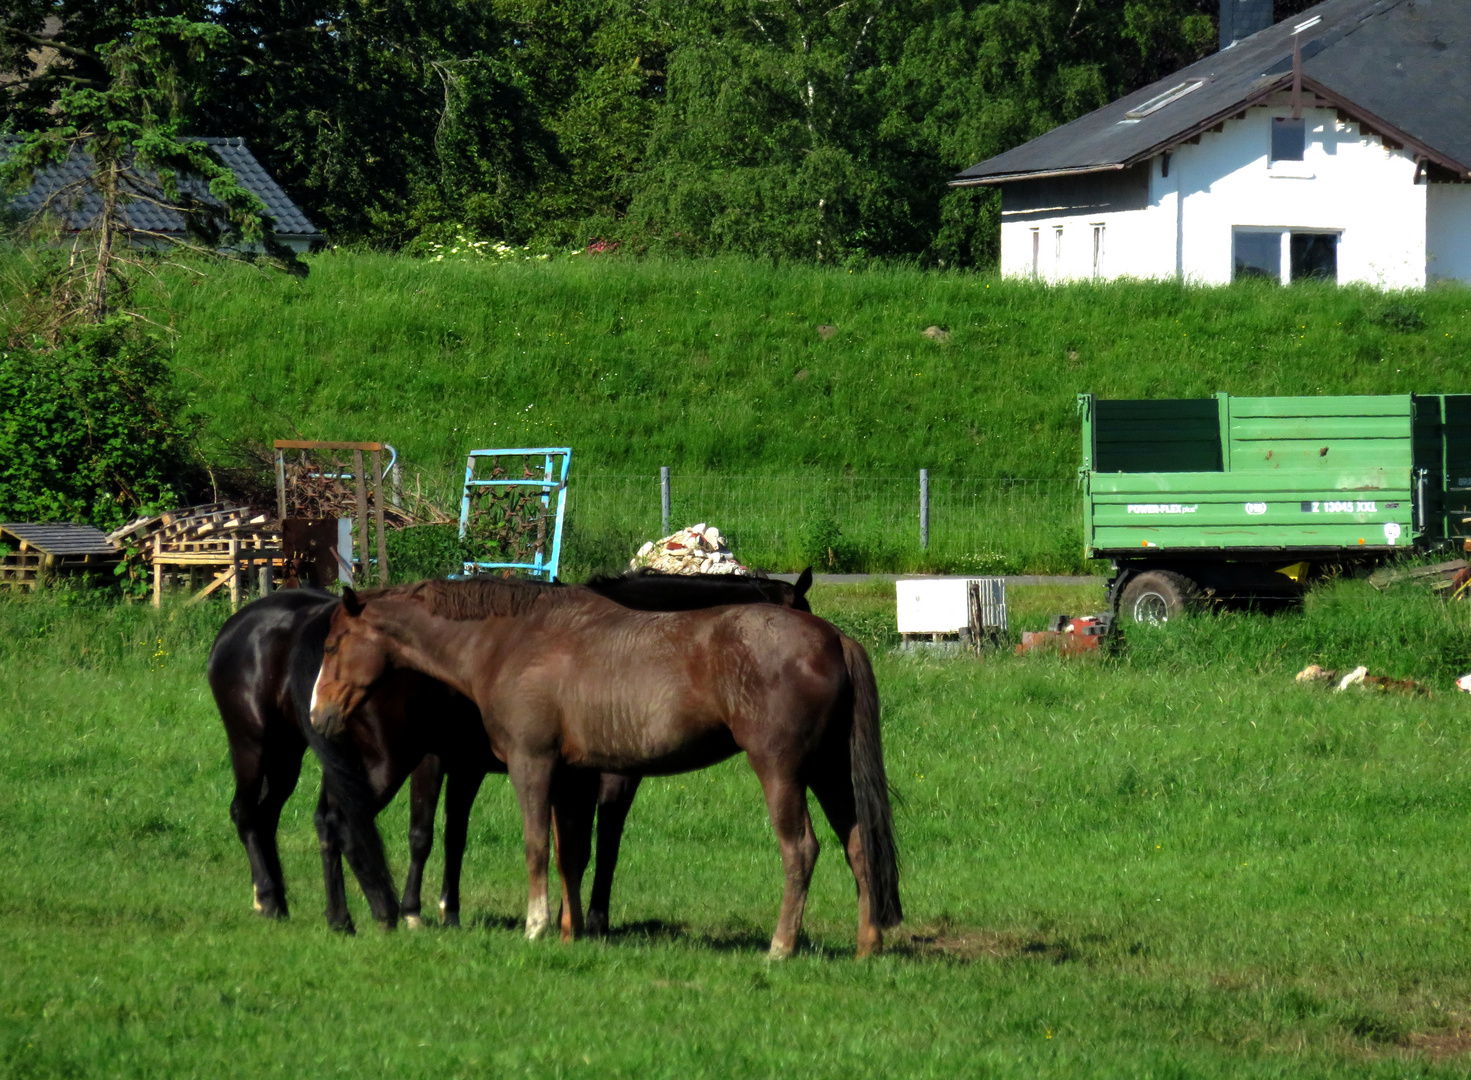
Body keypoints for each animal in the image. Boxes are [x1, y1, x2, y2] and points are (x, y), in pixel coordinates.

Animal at [207, 570, 817, 935]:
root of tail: (243, 627)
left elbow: (489, 838)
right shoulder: (607, 776)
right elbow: (600, 844)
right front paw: (589, 919)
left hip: (296, 757)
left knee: (293, 818)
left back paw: (303, 907)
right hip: (339, 759)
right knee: (299, 818)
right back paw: (340, 911)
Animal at [316, 579, 900, 959]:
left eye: (333, 643)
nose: (319, 713)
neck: (513, 640)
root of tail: (833, 637)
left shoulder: (533, 764)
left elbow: (537, 846)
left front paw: (537, 927)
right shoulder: (573, 775)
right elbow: (572, 854)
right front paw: (572, 932)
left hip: (781, 772)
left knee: (800, 849)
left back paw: (781, 948)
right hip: (829, 772)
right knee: (857, 844)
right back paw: (866, 946)